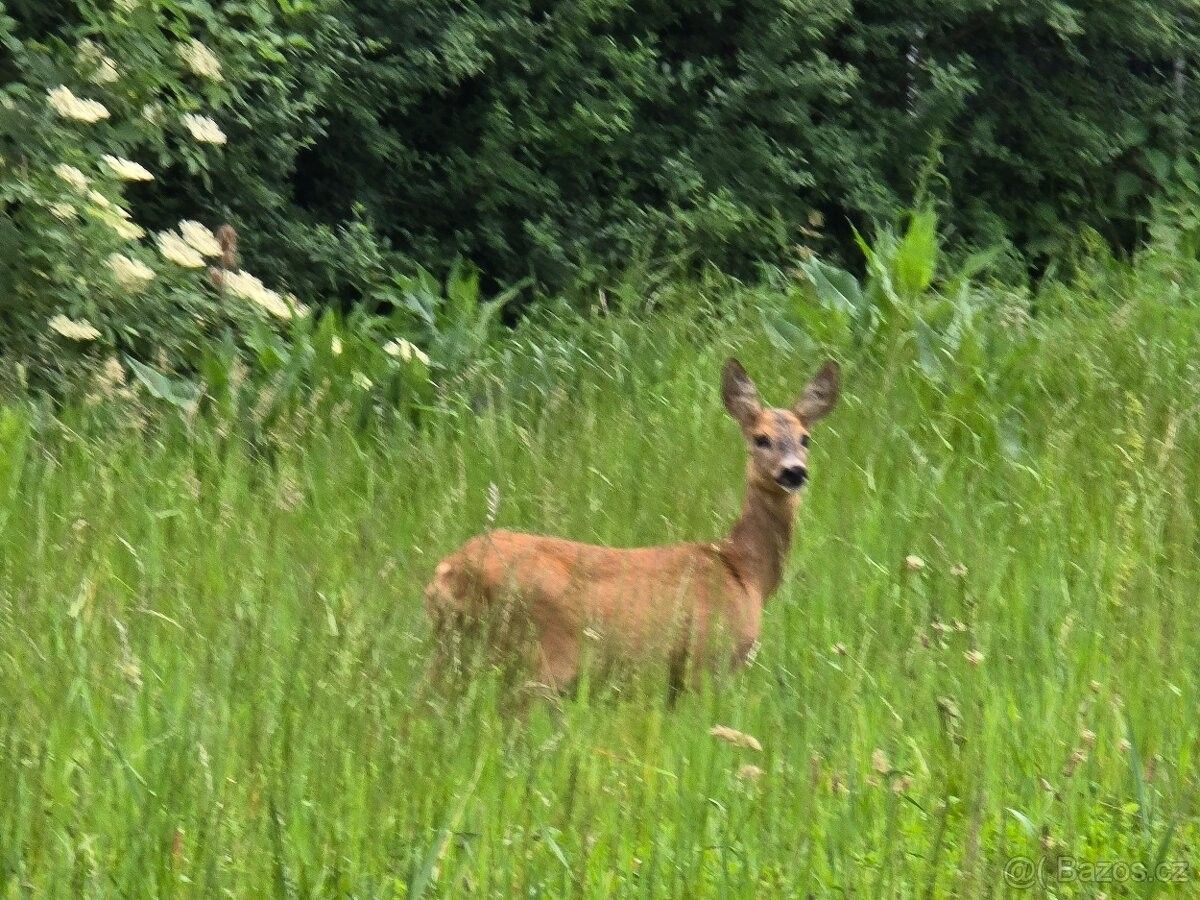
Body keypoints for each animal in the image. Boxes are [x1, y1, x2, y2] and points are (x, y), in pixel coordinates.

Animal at [427, 355, 840, 700]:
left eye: (805, 438)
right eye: (761, 438)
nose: (793, 472)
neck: (744, 570)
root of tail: (448, 572)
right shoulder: (709, 660)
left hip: (452, 654)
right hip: (542, 655)